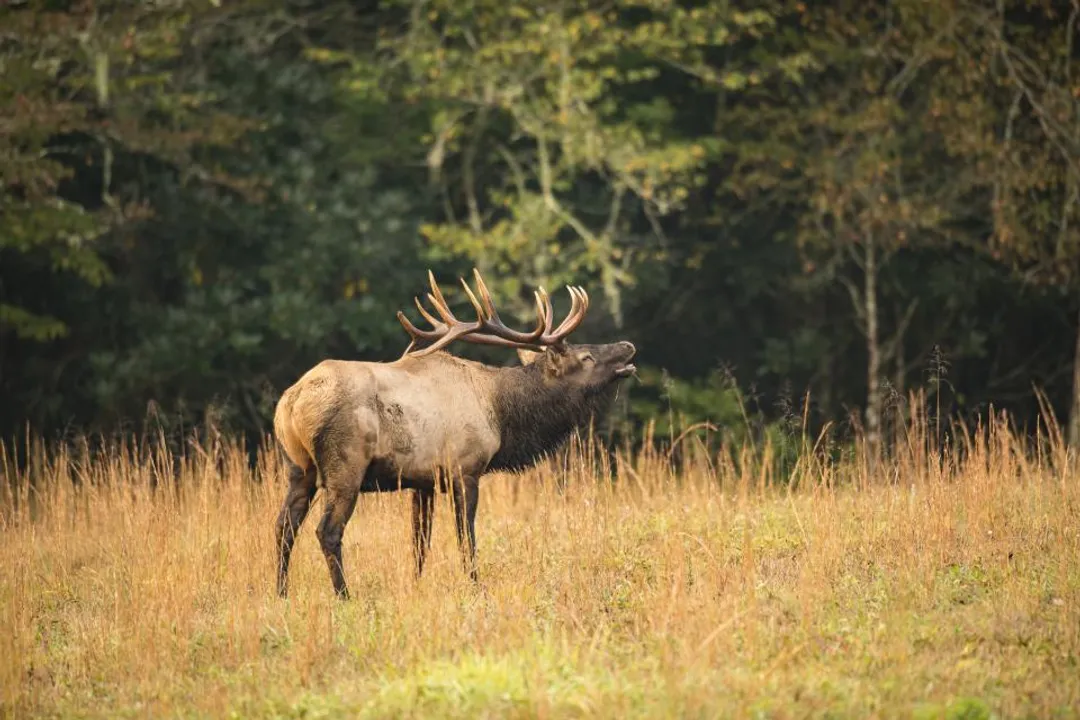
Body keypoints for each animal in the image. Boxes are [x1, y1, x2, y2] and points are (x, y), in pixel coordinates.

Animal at [272, 268, 637, 598]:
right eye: (586, 357)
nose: (627, 345)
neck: (500, 415)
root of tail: (291, 404)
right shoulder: (466, 469)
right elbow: (467, 539)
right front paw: (476, 589)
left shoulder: (422, 481)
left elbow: (420, 543)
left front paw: (417, 586)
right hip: (345, 465)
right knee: (327, 531)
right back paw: (344, 595)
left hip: (299, 467)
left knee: (283, 527)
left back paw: (281, 593)